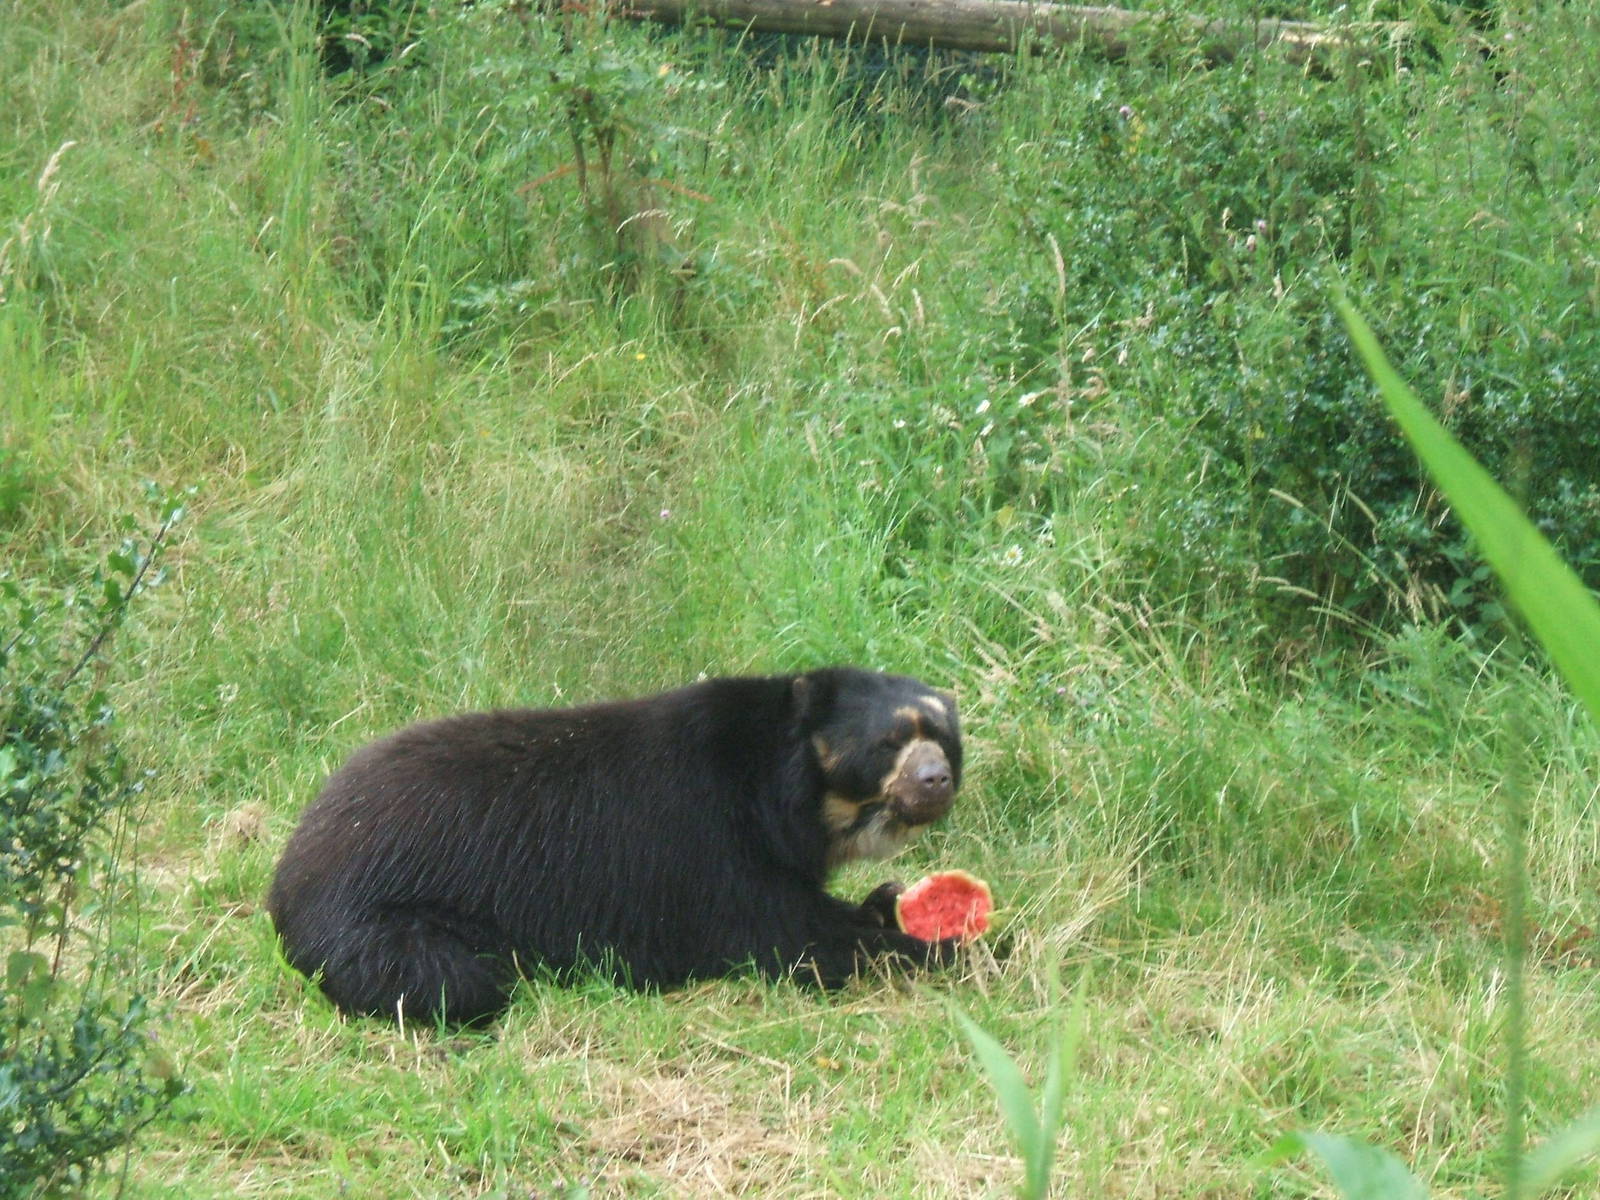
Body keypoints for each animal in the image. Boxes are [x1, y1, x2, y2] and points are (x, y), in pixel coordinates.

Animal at [266, 667, 965, 1024]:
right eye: (887, 743)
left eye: (944, 738)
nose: (937, 780)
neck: (780, 789)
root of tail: (290, 867)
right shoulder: (714, 850)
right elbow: (791, 938)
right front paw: (950, 948)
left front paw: (889, 901)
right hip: (377, 923)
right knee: (453, 984)